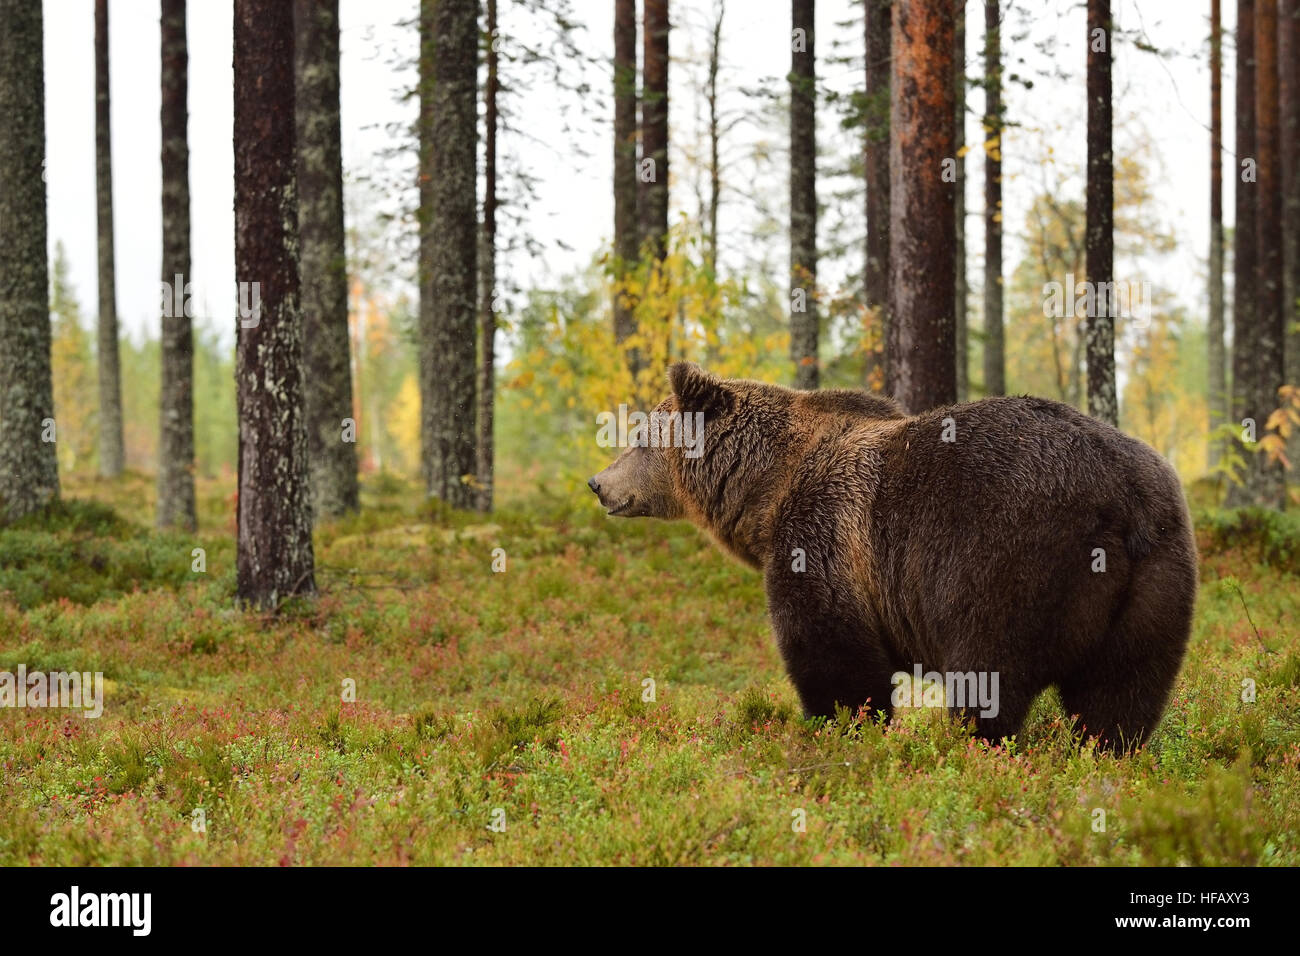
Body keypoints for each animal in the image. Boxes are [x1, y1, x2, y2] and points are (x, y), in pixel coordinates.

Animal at [587, 362, 1198, 753]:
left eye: (639, 436)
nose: (598, 483)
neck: (765, 493)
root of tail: (1119, 497)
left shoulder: (823, 539)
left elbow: (833, 656)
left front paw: (837, 728)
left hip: (1006, 557)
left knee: (989, 674)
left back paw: (972, 746)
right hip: (1159, 572)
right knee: (1122, 691)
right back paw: (1105, 753)